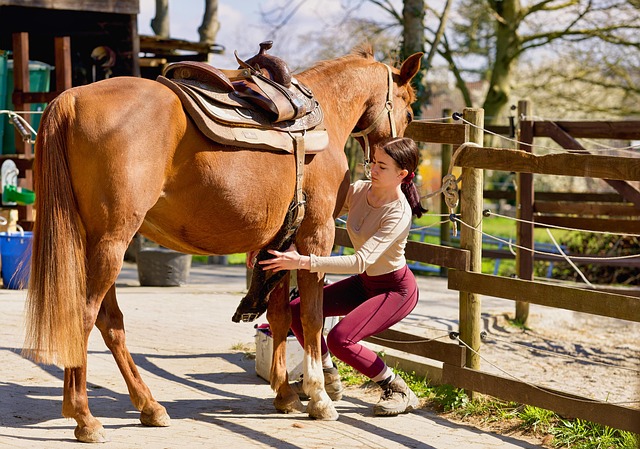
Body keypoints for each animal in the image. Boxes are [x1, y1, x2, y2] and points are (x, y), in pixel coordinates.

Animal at [22, 45, 422, 443]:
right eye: (410, 111)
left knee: (110, 323)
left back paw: (149, 406)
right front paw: (319, 397)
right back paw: (85, 417)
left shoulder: (279, 246)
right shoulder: (316, 237)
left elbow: (279, 316)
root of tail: (73, 99)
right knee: (85, 317)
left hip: (100, 243)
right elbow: (312, 317)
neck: (323, 116)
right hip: (111, 243)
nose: (404, 167)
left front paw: (285, 395)